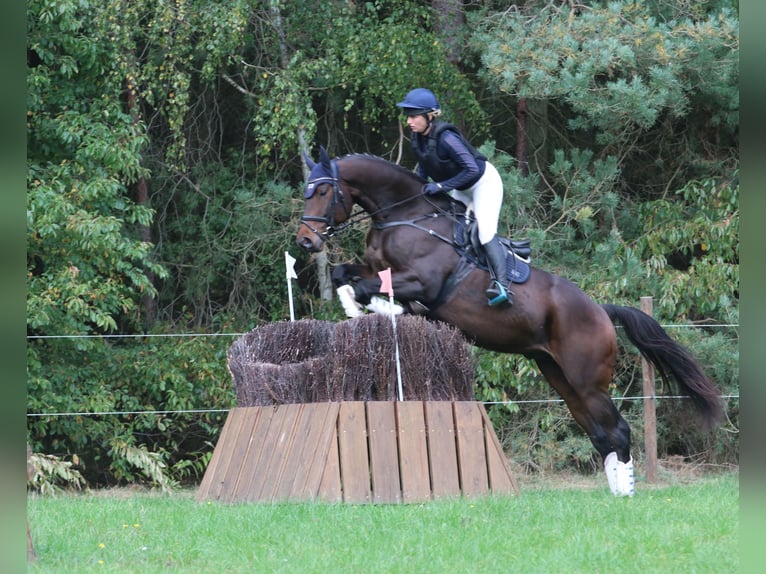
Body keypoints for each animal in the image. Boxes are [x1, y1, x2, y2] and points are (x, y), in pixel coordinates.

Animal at [296, 150, 728, 500]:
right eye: (307, 190)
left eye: (323, 191)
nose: (305, 242)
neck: (406, 214)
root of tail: (602, 311)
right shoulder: (378, 269)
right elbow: (345, 273)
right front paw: (362, 306)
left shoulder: (422, 282)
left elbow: (367, 287)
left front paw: (374, 309)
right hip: (560, 377)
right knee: (599, 433)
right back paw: (615, 488)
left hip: (588, 381)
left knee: (618, 431)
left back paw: (625, 493)